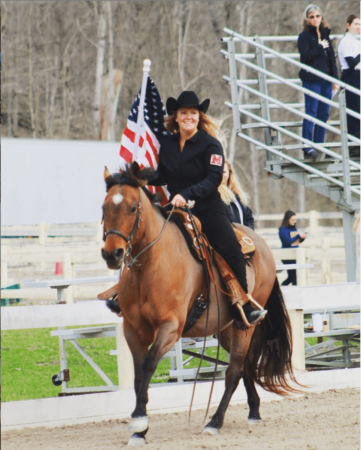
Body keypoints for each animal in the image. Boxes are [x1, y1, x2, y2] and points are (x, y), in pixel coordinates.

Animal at [100, 163, 298, 446]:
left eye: (132, 207)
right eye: (104, 208)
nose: (112, 254)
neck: (151, 265)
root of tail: (259, 241)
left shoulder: (170, 328)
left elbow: (149, 363)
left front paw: (138, 421)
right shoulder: (133, 330)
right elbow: (139, 376)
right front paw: (140, 431)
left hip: (245, 327)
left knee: (234, 371)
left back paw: (214, 421)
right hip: (227, 329)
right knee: (245, 365)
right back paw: (254, 411)